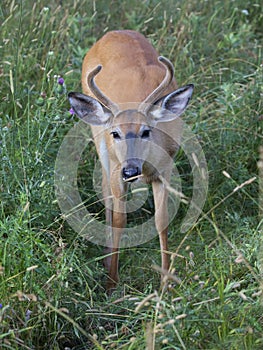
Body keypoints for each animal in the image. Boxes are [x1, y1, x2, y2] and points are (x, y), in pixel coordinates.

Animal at [68, 30, 194, 292]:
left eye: (146, 131)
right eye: (115, 133)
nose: (131, 170)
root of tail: (114, 33)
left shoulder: (165, 169)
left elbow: (161, 220)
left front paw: (165, 282)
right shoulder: (117, 166)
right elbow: (119, 219)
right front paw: (111, 282)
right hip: (99, 139)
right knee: (105, 191)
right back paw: (106, 256)